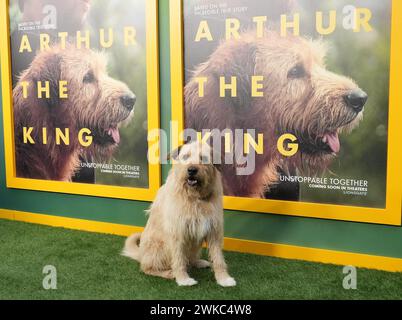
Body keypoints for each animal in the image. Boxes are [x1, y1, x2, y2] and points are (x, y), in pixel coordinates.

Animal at [122, 141, 236, 286]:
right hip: (158, 247)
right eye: (185, 156)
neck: (194, 197)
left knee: (190, 259)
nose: (191, 170)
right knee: (147, 268)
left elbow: (218, 258)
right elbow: (179, 259)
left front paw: (224, 278)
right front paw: (183, 279)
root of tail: (141, 255)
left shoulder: (214, 230)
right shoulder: (177, 233)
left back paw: (199, 262)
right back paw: (168, 273)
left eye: (203, 158)